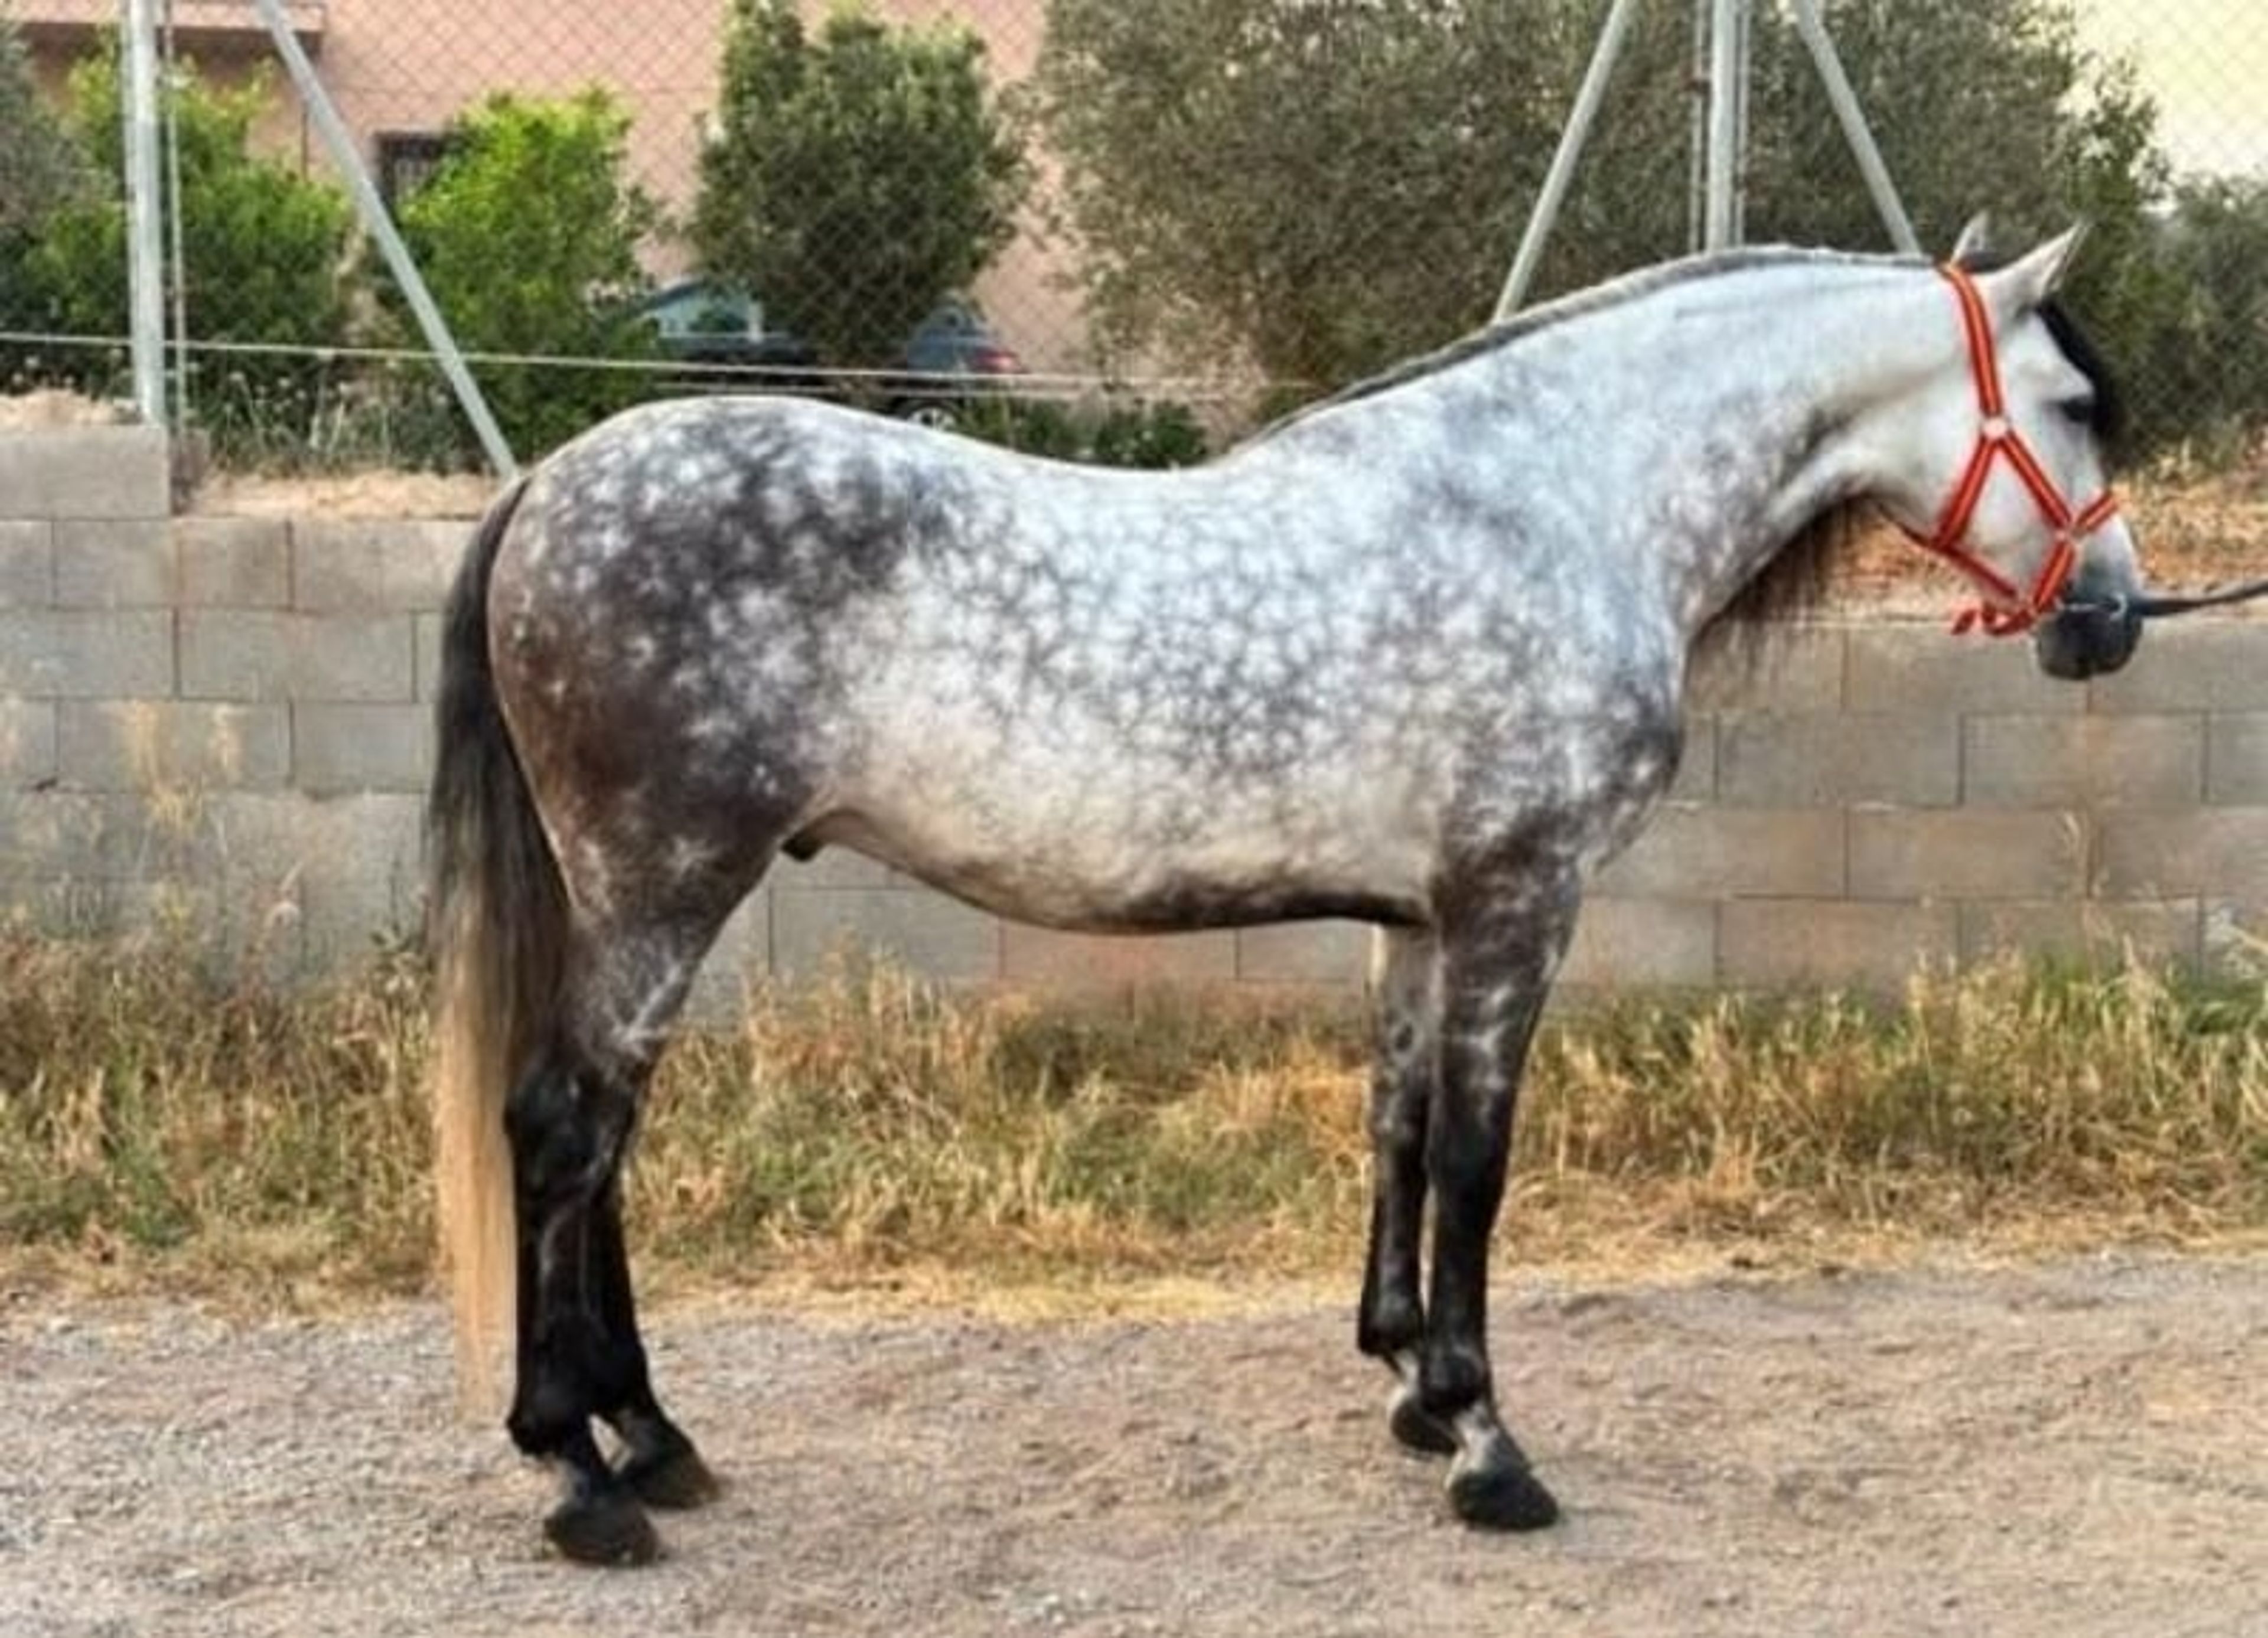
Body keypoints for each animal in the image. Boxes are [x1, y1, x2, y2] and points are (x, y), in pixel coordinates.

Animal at [427, 226, 2146, 1565]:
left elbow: (1398, 1124)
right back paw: (579, 1474)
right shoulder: (1519, 901)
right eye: (2071, 404)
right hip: (662, 890)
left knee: (605, 1146)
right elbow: (1478, 1158)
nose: (2113, 619)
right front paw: (1489, 1445)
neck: (1558, 500)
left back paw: (654, 1438)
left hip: (638, 902)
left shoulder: (1420, 915)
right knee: (567, 1132)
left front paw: (1410, 1384)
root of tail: (551, 485)